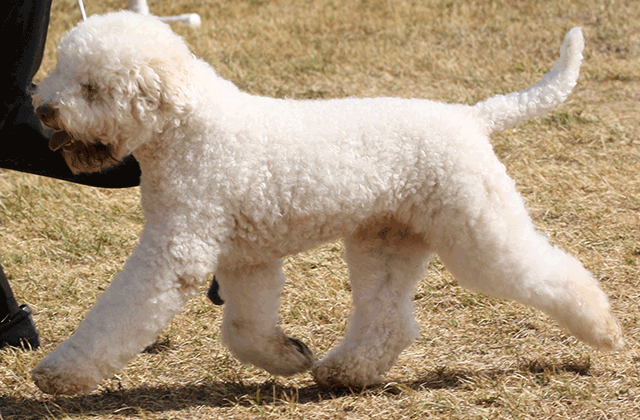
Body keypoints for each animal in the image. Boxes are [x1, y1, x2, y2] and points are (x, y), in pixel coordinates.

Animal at [30, 11, 620, 396]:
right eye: (60, 71)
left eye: (91, 87)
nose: (43, 109)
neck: (188, 128)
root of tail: (472, 117)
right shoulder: (246, 260)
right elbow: (244, 330)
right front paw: (289, 356)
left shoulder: (174, 254)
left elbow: (118, 315)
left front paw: (59, 373)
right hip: (384, 241)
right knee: (389, 321)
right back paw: (341, 372)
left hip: (477, 232)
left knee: (551, 273)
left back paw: (605, 331)